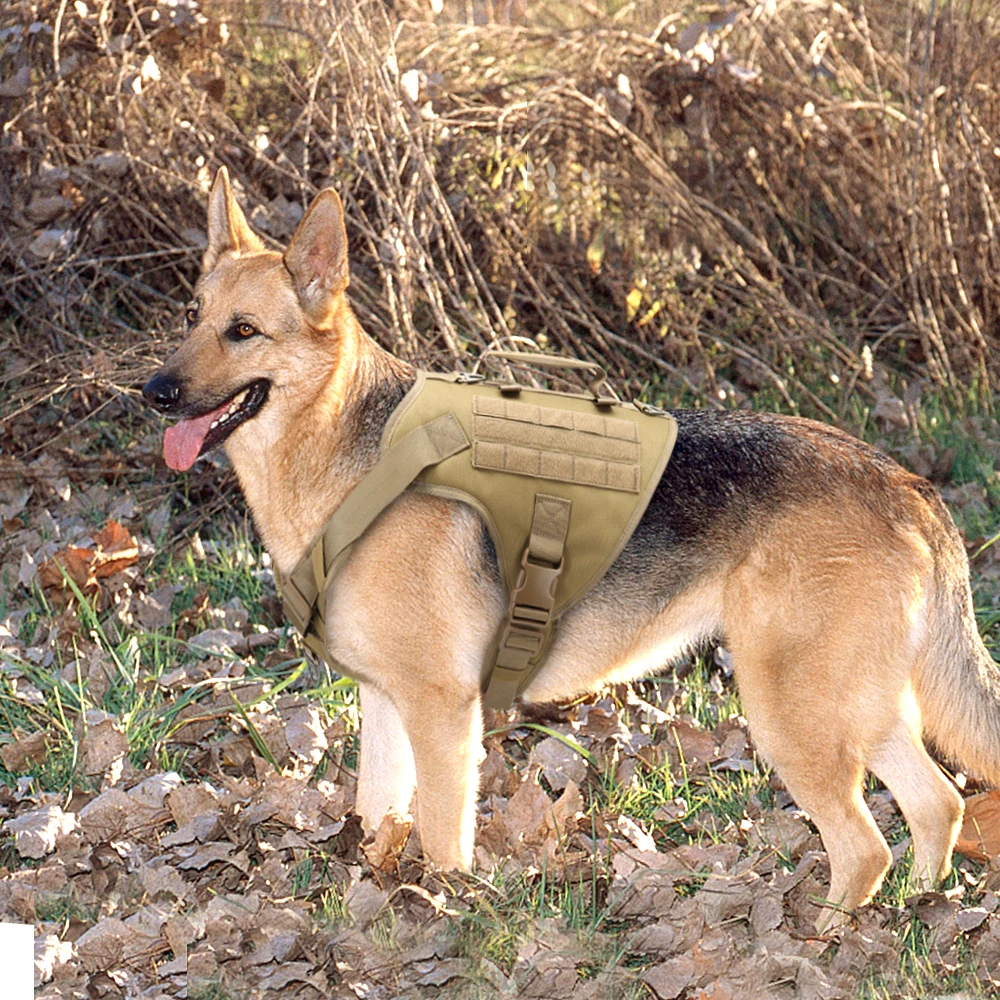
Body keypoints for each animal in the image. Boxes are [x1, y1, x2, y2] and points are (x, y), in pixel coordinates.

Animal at [143, 172, 1000, 928]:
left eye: (243, 331)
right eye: (191, 316)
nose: (152, 392)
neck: (350, 453)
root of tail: (905, 484)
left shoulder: (439, 712)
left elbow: (441, 841)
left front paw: (447, 917)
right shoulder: (384, 704)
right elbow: (378, 825)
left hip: (793, 714)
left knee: (866, 847)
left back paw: (829, 935)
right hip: (858, 708)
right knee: (939, 804)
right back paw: (919, 912)